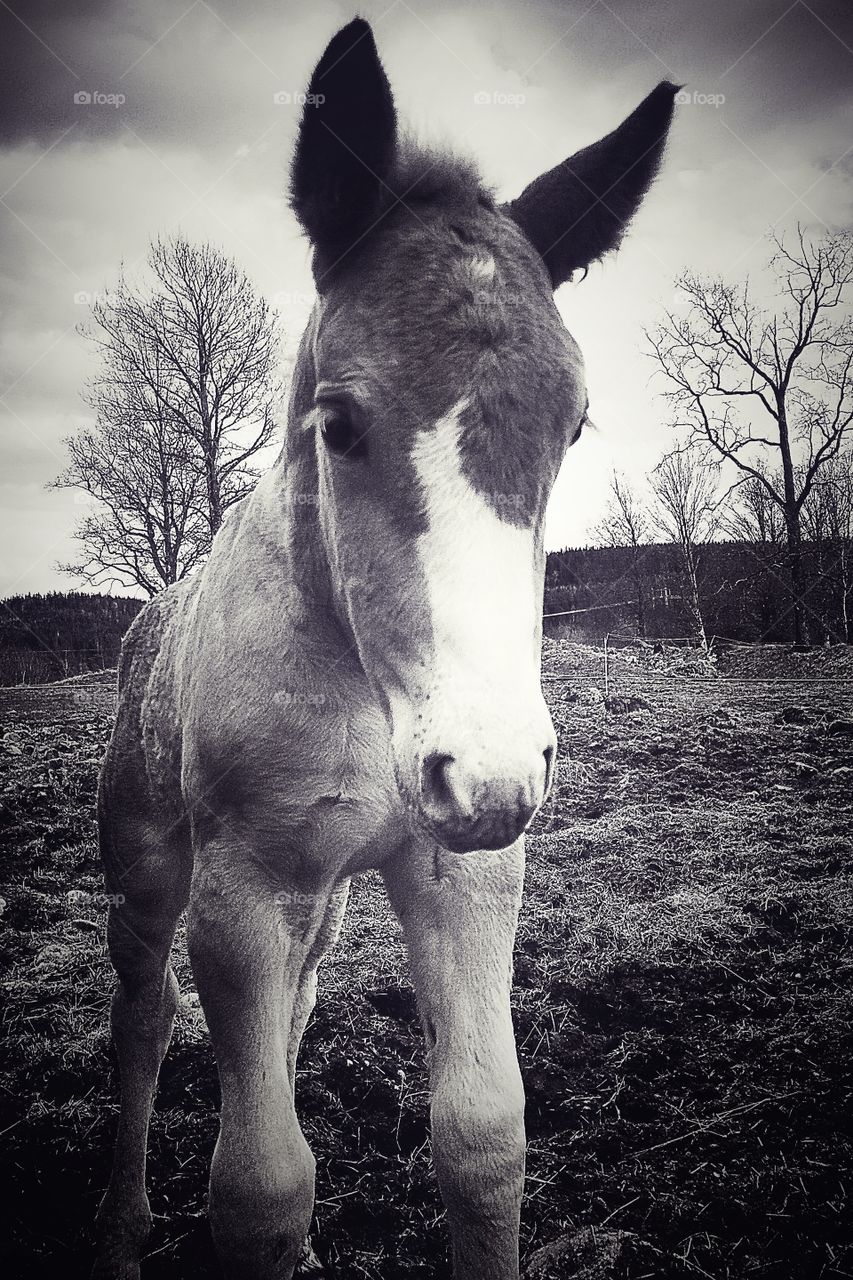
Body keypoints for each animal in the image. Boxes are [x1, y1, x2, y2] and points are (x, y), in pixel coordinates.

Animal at [92, 18, 676, 1280]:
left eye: (572, 426)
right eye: (341, 423)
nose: (489, 769)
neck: (366, 690)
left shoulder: (460, 872)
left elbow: (483, 1136)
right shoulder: (242, 894)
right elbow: (259, 1185)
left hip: (321, 897)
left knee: (294, 1007)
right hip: (152, 868)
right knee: (143, 1016)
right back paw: (117, 1220)